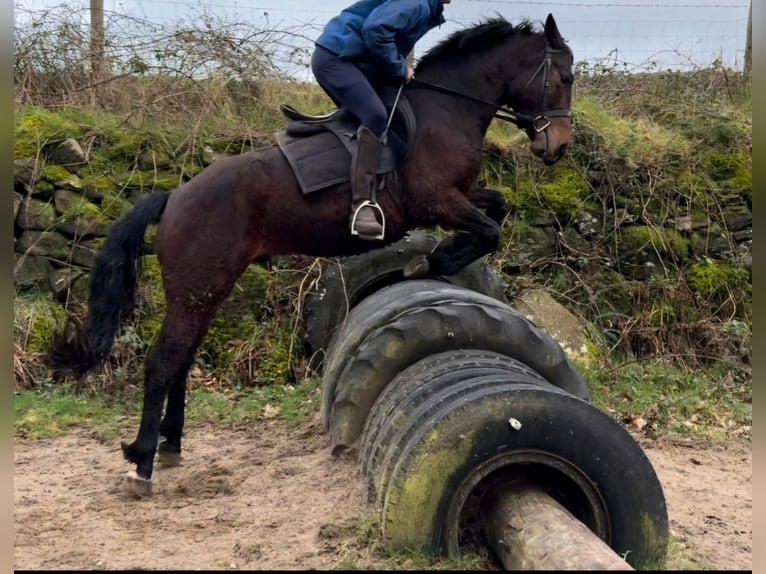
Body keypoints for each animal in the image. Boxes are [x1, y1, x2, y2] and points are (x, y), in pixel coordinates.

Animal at [48, 14, 572, 500]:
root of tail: (174, 197)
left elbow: (496, 211)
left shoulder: (461, 197)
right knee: (163, 360)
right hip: (197, 285)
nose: (559, 147)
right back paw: (142, 462)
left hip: (207, 288)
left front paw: (433, 260)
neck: (447, 110)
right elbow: (489, 231)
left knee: (182, 356)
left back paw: (170, 444)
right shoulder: (437, 201)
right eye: (564, 77)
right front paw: (430, 263)